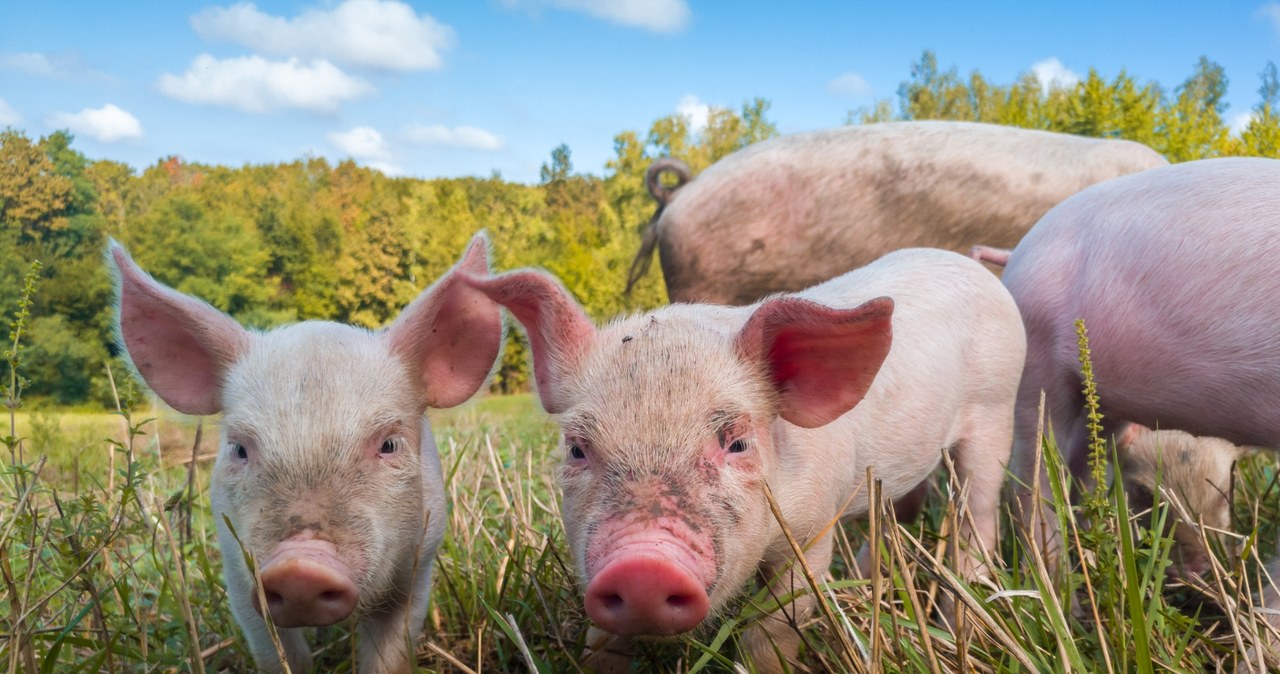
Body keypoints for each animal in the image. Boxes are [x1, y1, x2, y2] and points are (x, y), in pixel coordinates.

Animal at [108, 235, 504, 670]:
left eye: (388, 444)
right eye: (239, 449)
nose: (300, 566)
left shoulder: (418, 565)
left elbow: (390, 655)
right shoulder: (237, 572)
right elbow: (279, 655)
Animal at [465, 249, 1024, 674]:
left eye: (736, 443)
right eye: (578, 447)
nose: (643, 564)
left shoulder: (811, 532)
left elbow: (771, 628)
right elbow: (603, 643)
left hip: (998, 408)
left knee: (979, 511)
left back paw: (960, 619)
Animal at [993, 156, 1280, 565]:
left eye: (1228, 489)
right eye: (1146, 495)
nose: (1201, 572)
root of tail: (1021, 249)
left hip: (1104, 401)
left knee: (1083, 468)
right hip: (1036, 364)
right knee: (1036, 479)